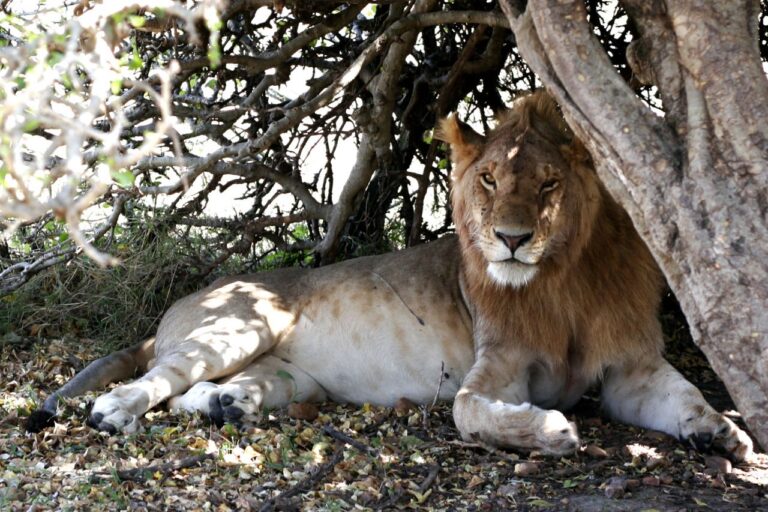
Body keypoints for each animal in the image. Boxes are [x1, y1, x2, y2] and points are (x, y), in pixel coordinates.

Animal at [27, 91, 752, 460]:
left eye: (549, 183)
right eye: (489, 180)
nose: (511, 240)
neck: (565, 278)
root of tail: (181, 306)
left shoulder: (630, 368)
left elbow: (685, 396)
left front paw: (723, 431)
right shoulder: (498, 367)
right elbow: (469, 411)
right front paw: (549, 433)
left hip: (287, 376)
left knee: (197, 395)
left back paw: (227, 406)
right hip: (238, 326)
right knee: (155, 381)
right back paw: (112, 412)